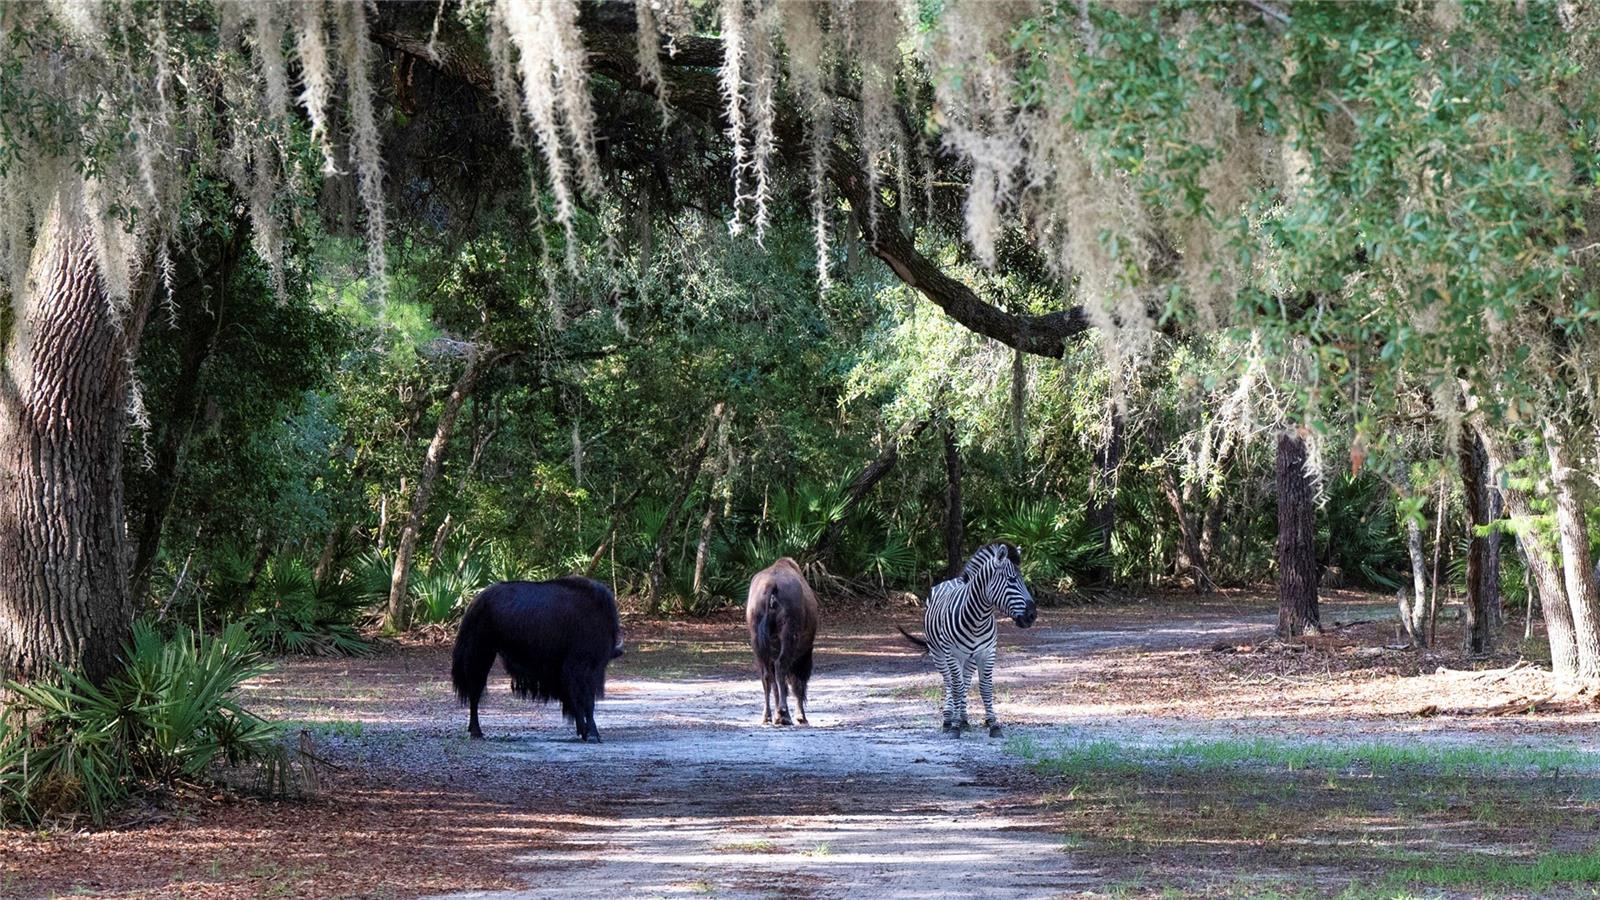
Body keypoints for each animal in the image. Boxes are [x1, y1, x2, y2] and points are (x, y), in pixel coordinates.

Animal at [902, 538, 1036, 736]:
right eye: (1011, 580)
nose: (1032, 616)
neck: (978, 620)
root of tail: (952, 580)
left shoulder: (987, 653)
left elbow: (985, 687)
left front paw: (993, 724)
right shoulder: (953, 654)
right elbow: (956, 687)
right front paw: (955, 726)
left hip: (970, 658)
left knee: (964, 682)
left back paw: (963, 718)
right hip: (939, 654)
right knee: (950, 682)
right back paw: (949, 719)